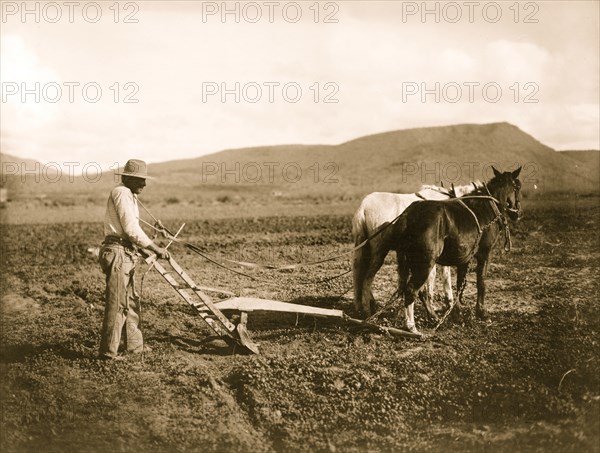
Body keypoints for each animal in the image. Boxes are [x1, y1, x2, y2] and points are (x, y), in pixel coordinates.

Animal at [352, 180, 482, 318]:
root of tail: (363, 207)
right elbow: (440, 276)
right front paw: (444, 304)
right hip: (379, 250)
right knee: (367, 277)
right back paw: (368, 309)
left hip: (362, 246)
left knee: (358, 272)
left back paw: (360, 306)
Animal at [394, 167, 520, 332]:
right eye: (518, 187)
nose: (517, 213)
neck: (487, 207)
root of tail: (409, 215)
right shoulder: (484, 253)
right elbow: (481, 282)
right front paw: (481, 312)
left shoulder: (465, 257)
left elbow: (461, 283)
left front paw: (458, 310)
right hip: (425, 264)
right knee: (411, 290)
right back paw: (411, 326)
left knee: (417, 291)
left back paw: (432, 318)